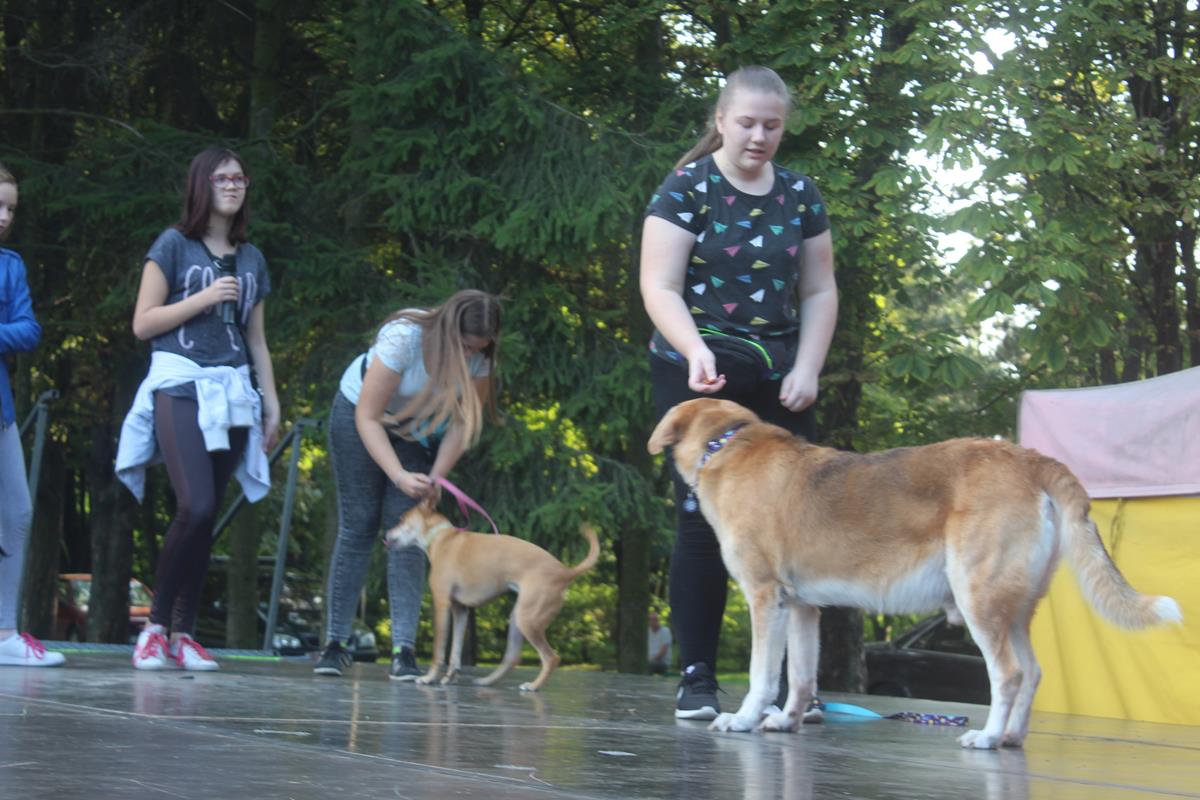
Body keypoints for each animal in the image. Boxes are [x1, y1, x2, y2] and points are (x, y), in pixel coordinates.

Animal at [386, 502, 599, 692]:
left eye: (402, 519)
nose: (386, 534)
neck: (441, 536)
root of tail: (565, 572)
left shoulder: (441, 603)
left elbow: (439, 648)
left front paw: (429, 678)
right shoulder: (460, 610)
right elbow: (455, 650)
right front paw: (451, 676)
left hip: (528, 619)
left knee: (551, 658)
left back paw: (533, 686)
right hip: (518, 618)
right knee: (512, 657)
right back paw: (487, 681)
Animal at [648, 398, 1182, 749]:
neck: (725, 444)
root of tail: (1031, 460)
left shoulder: (766, 598)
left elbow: (762, 675)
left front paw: (742, 720)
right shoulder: (802, 608)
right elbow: (799, 677)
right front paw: (786, 721)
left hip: (977, 599)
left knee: (1008, 674)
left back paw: (988, 737)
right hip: (1012, 609)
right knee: (1031, 671)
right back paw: (1011, 736)